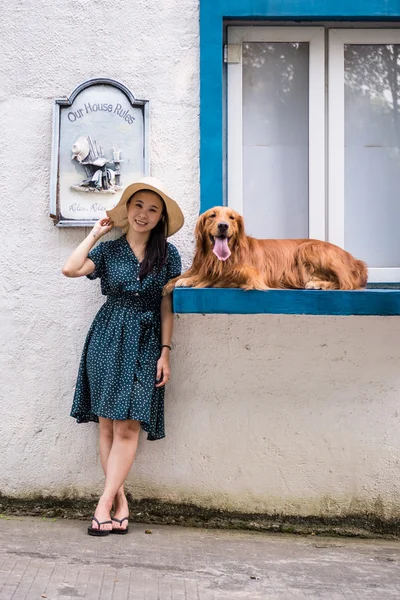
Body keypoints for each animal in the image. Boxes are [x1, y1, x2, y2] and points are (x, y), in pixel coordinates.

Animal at [163, 206, 368, 296]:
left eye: (231, 217)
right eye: (212, 215)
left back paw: (319, 284)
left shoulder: (252, 275)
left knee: (347, 283)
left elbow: (216, 277)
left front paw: (193, 281)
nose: (223, 226)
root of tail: (356, 261)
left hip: (307, 248)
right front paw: (177, 282)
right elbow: (179, 277)